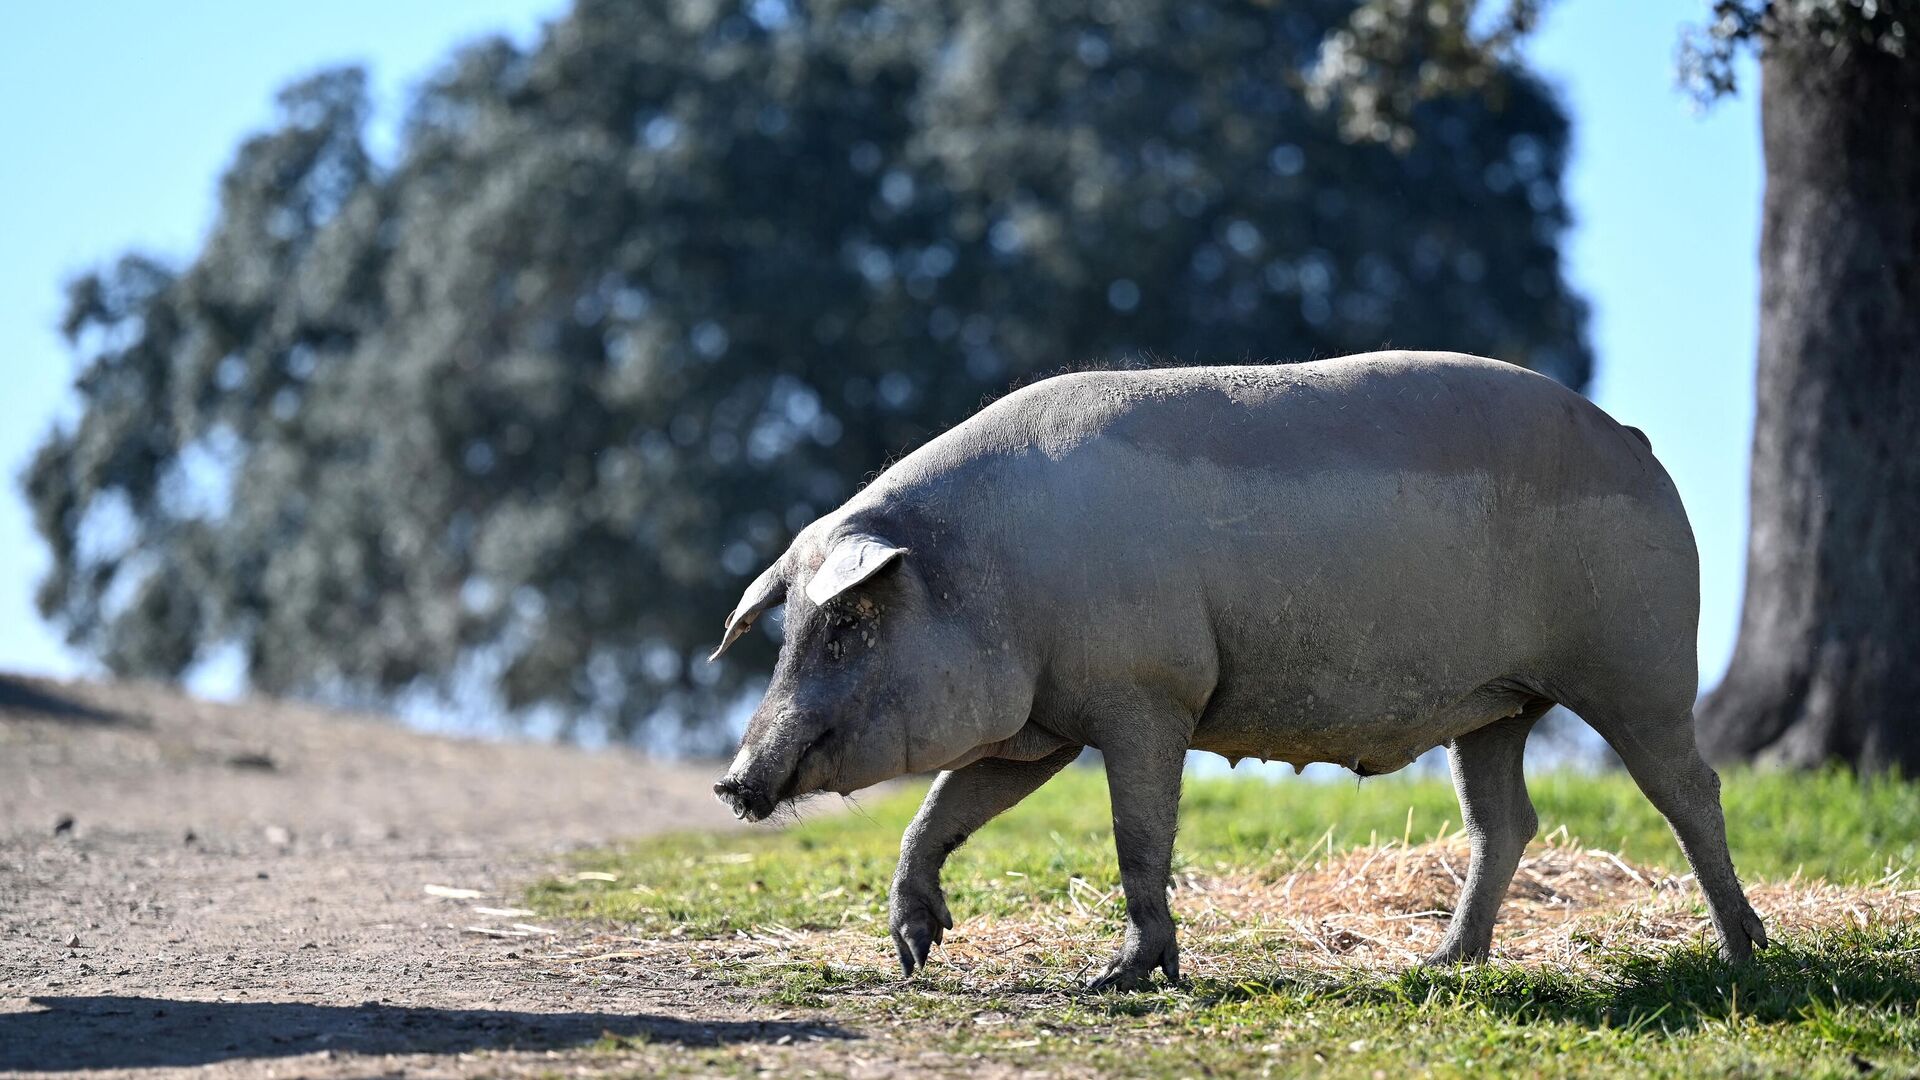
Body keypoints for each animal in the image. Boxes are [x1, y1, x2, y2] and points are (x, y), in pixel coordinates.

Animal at [710, 351, 1766, 983]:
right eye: (790, 630)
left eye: (845, 627)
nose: (731, 781)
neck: (999, 571)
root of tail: (1634, 440)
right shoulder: (1039, 728)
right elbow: (942, 808)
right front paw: (914, 953)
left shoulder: (1148, 695)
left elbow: (1139, 838)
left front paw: (1118, 980)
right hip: (1497, 707)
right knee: (1506, 819)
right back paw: (1439, 964)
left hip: (1640, 663)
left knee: (1691, 789)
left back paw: (1744, 953)